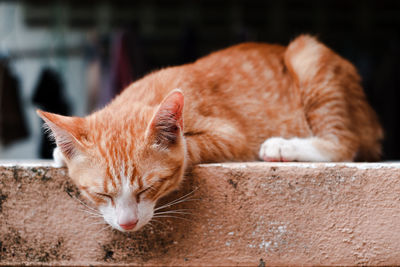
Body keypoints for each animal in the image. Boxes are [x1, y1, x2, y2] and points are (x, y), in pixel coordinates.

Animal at [38, 35, 384, 232]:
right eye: (102, 194)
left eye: (149, 188)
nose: (128, 223)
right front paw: (61, 152)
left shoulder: (233, 135)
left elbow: (189, 145)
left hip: (309, 57)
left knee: (343, 145)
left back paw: (284, 147)